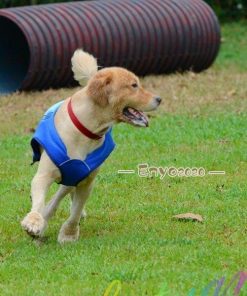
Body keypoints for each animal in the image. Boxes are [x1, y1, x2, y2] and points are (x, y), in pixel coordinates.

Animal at [20, 49, 161, 243]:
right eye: (134, 85)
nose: (159, 99)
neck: (86, 130)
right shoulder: (44, 175)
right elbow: (39, 200)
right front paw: (34, 222)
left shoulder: (86, 180)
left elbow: (75, 211)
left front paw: (69, 234)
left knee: (64, 194)